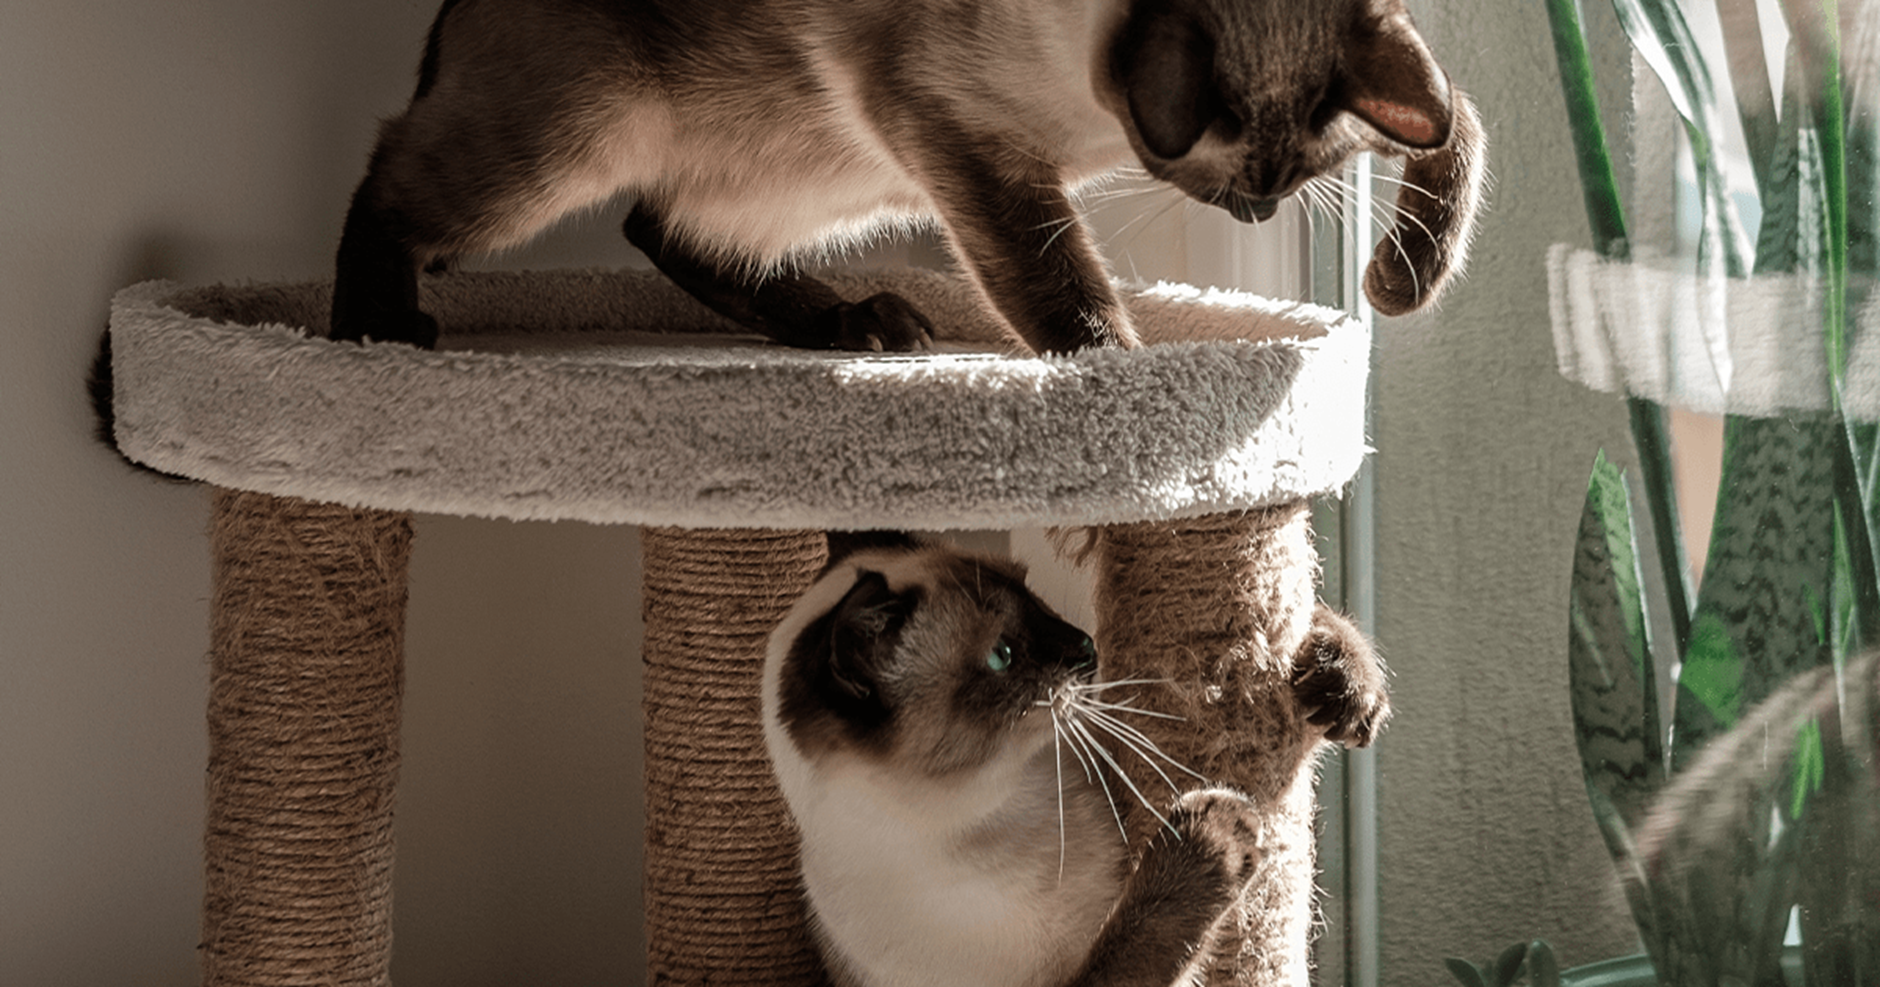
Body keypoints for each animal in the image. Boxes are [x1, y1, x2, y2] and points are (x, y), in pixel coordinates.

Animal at [334, 0, 1481, 351]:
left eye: (1289, 180)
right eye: (1251, 184)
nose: (1249, 211)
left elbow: (1453, 124)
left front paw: (1395, 283)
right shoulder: (961, 137)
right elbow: (1059, 287)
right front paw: (1126, 386)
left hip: (813, 171)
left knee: (662, 230)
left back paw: (852, 325)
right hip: (574, 140)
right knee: (385, 185)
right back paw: (375, 330)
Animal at [755, 530, 1391, 985]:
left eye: (1034, 598)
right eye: (1003, 655)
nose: (1086, 648)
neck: (1014, 799)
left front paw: (1339, 678)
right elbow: (1141, 934)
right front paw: (1215, 832)